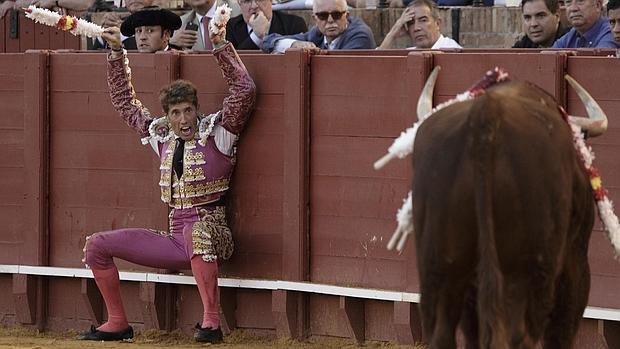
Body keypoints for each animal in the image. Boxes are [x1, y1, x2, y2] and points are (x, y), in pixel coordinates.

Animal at [410, 68, 608, 348]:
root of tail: (485, 115)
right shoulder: (576, 262)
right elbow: (561, 331)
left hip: (439, 264)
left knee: (442, 334)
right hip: (526, 270)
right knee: (519, 334)